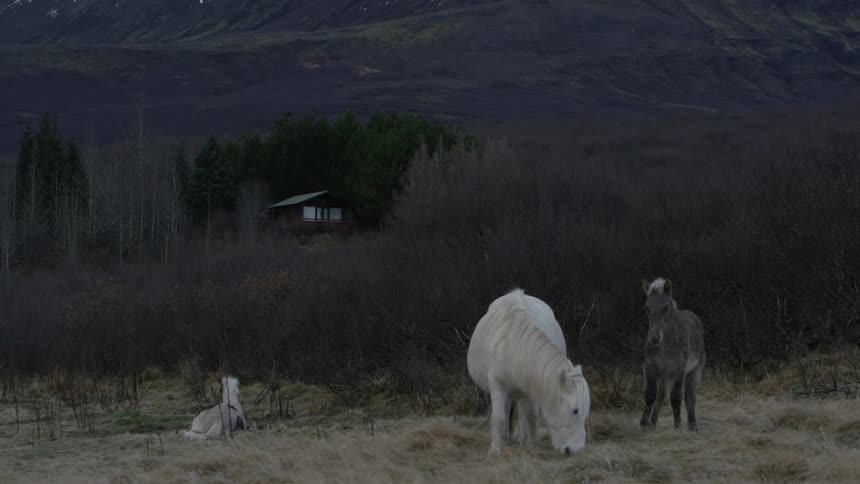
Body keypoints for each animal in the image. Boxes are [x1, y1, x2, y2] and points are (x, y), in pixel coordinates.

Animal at [467, 288, 591, 456]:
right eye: (575, 411)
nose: (576, 450)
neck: (512, 346)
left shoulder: (532, 385)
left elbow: (532, 415)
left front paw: (531, 445)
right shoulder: (497, 385)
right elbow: (498, 417)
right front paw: (495, 449)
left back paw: (521, 439)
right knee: (507, 409)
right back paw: (505, 437)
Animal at [639, 278, 705, 431]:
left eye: (666, 307)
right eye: (647, 309)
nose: (654, 338)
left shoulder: (679, 369)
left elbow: (676, 397)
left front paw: (678, 425)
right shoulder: (651, 367)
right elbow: (650, 395)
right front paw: (644, 424)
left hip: (694, 371)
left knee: (690, 397)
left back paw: (692, 425)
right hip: (663, 375)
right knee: (660, 396)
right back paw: (653, 422)